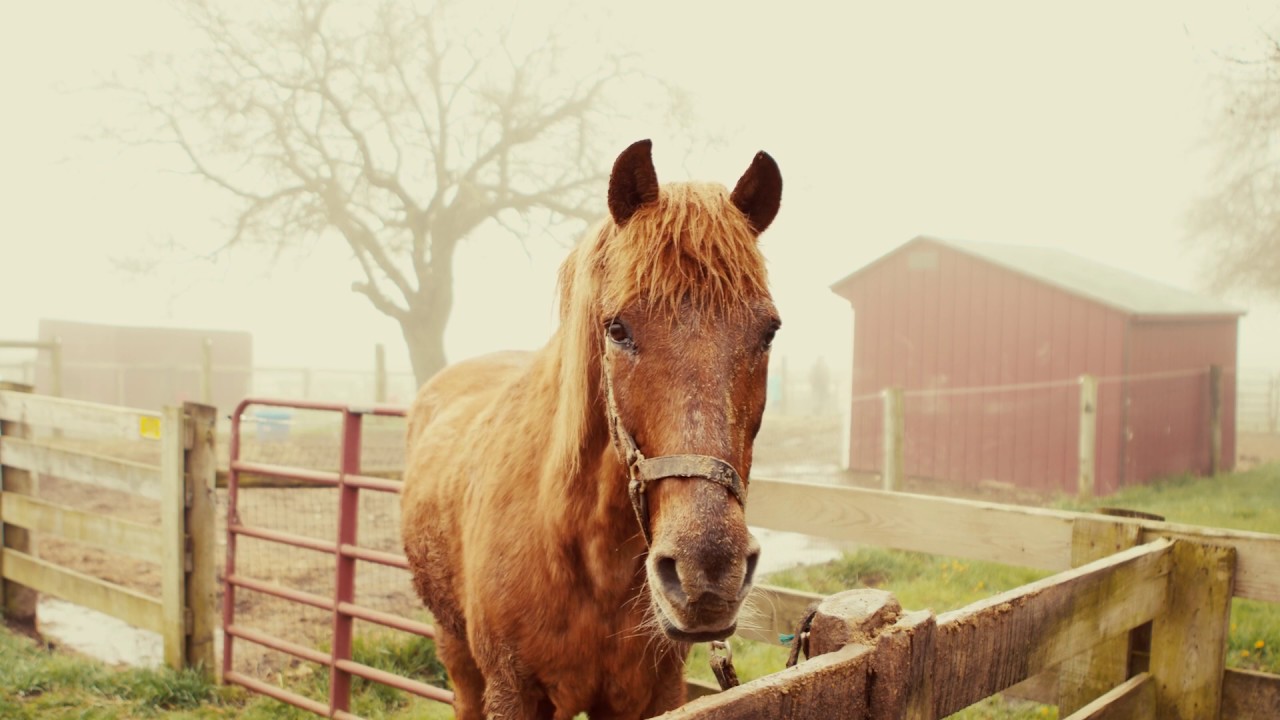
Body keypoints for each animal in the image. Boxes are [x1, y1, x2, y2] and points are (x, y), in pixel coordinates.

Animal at [401, 140, 778, 717]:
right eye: (617, 329)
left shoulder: (652, 694)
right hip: (456, 650)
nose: (708, 572)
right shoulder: (512, 691)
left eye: (769, 331)